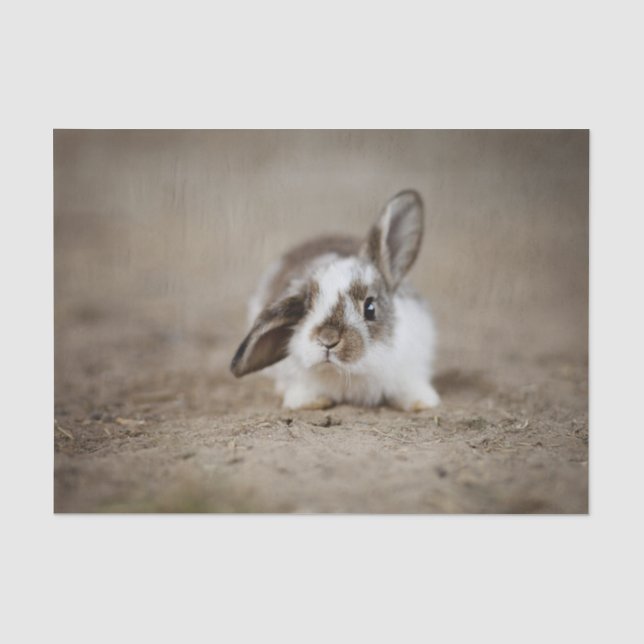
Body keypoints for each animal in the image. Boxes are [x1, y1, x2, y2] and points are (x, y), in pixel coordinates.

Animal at [230, 190, 440, 411]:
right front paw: (310, 402)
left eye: (370, 308)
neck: (349, 373)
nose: (327, 339)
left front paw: (422, 402)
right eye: (306, 308)